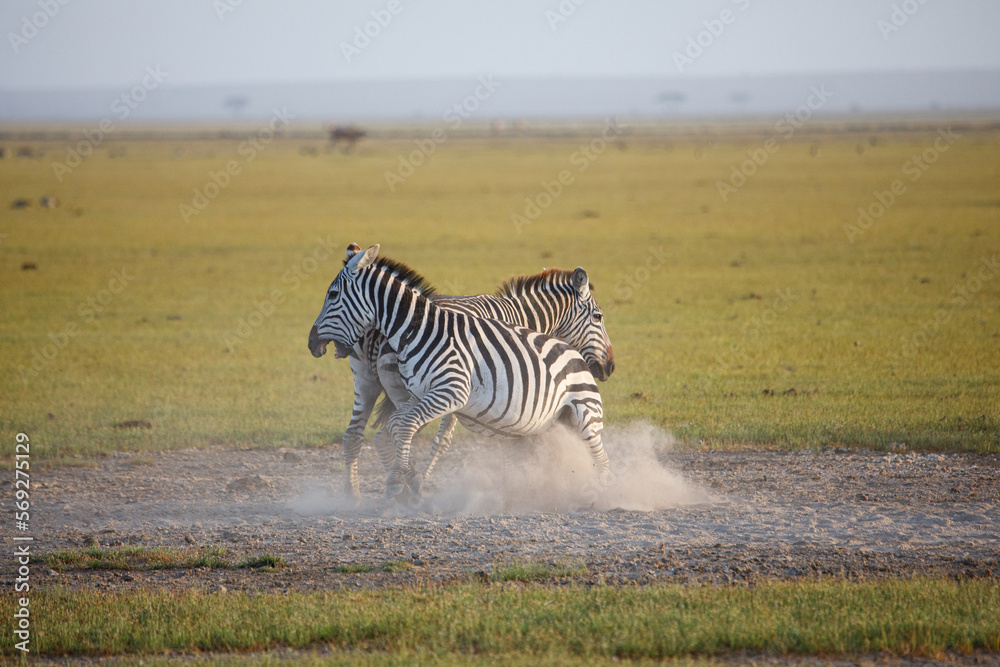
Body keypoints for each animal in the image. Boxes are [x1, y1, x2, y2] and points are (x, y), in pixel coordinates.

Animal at [309, 244, 611, 500]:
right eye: (598, 317)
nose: (609, 367)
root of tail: (375, 334)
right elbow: (444, 439)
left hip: (365, 380)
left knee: (354, 435)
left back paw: (356, 495)